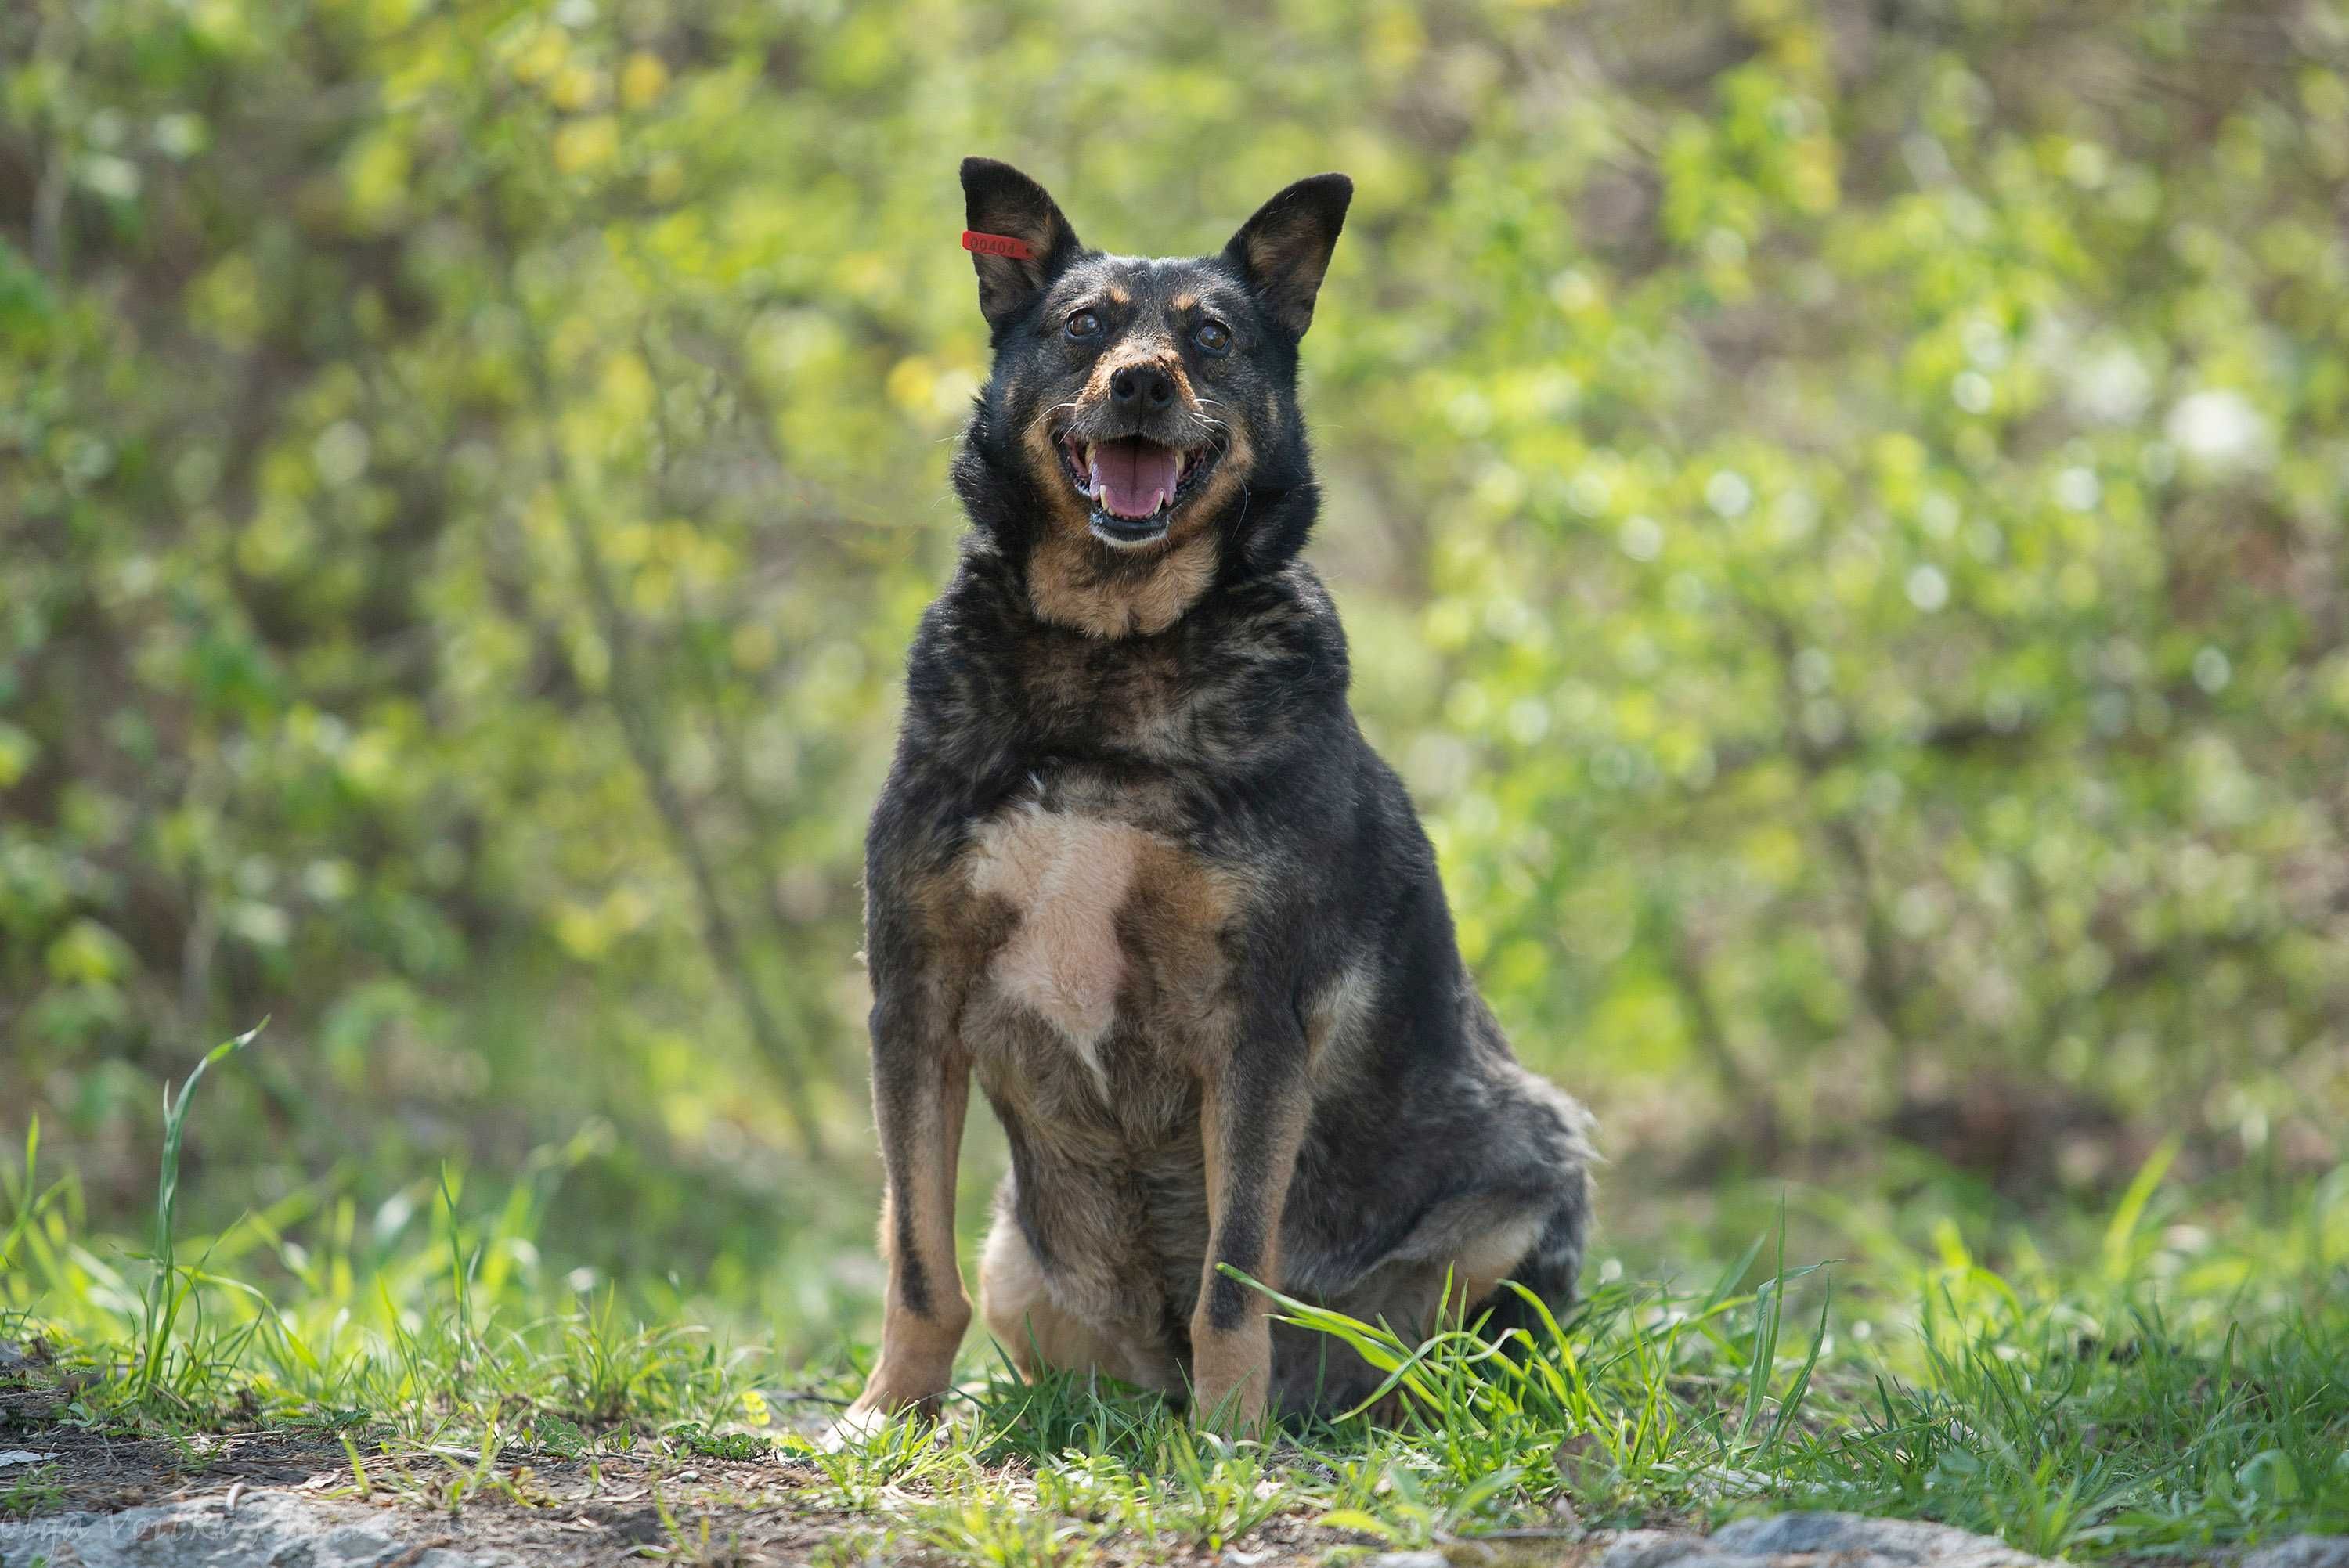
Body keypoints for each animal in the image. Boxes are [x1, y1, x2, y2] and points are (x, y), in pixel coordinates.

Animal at [846, 159, 1597, 1436]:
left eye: (1211, 336)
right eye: (1082, 325)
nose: (1143, 381)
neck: (1110, 650)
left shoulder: (1255, 1026)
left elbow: (1235, 1278)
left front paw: (1228, 1441)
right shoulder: (915, 998)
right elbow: (915, 1263)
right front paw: (888, 1410)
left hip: (1529, 1177)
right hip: (1020, 1263)